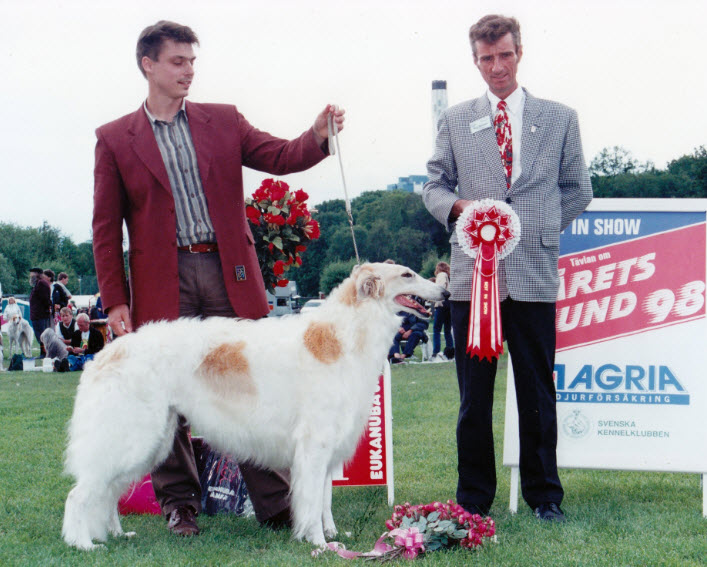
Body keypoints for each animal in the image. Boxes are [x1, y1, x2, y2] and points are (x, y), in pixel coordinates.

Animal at [62, 262, 448, 552]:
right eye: (408, 274)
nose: (445, 293)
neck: (340, 337)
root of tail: (105, 353)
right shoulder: (314, 443)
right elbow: (311, 500)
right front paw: (319, 543)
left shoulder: (328, 446)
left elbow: (324, 500)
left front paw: (334, 535)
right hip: (132, 437)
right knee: (79, 495)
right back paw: (83, 544)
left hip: (148, 442)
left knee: (107, 495)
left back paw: (115, 534)